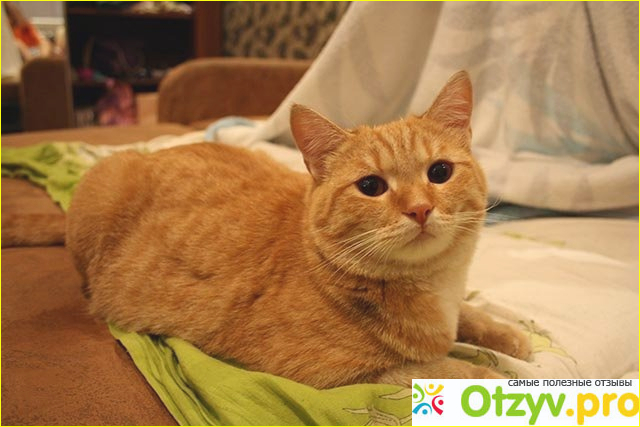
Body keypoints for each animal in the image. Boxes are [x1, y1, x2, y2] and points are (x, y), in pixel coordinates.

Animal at [65, 71, 531, 388]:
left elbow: (471, 315)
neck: (433, 285)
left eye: (440, 172)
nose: (419, 209)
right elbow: (446, 369)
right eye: (371, 187)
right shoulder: (340, 373)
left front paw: (510, 335)